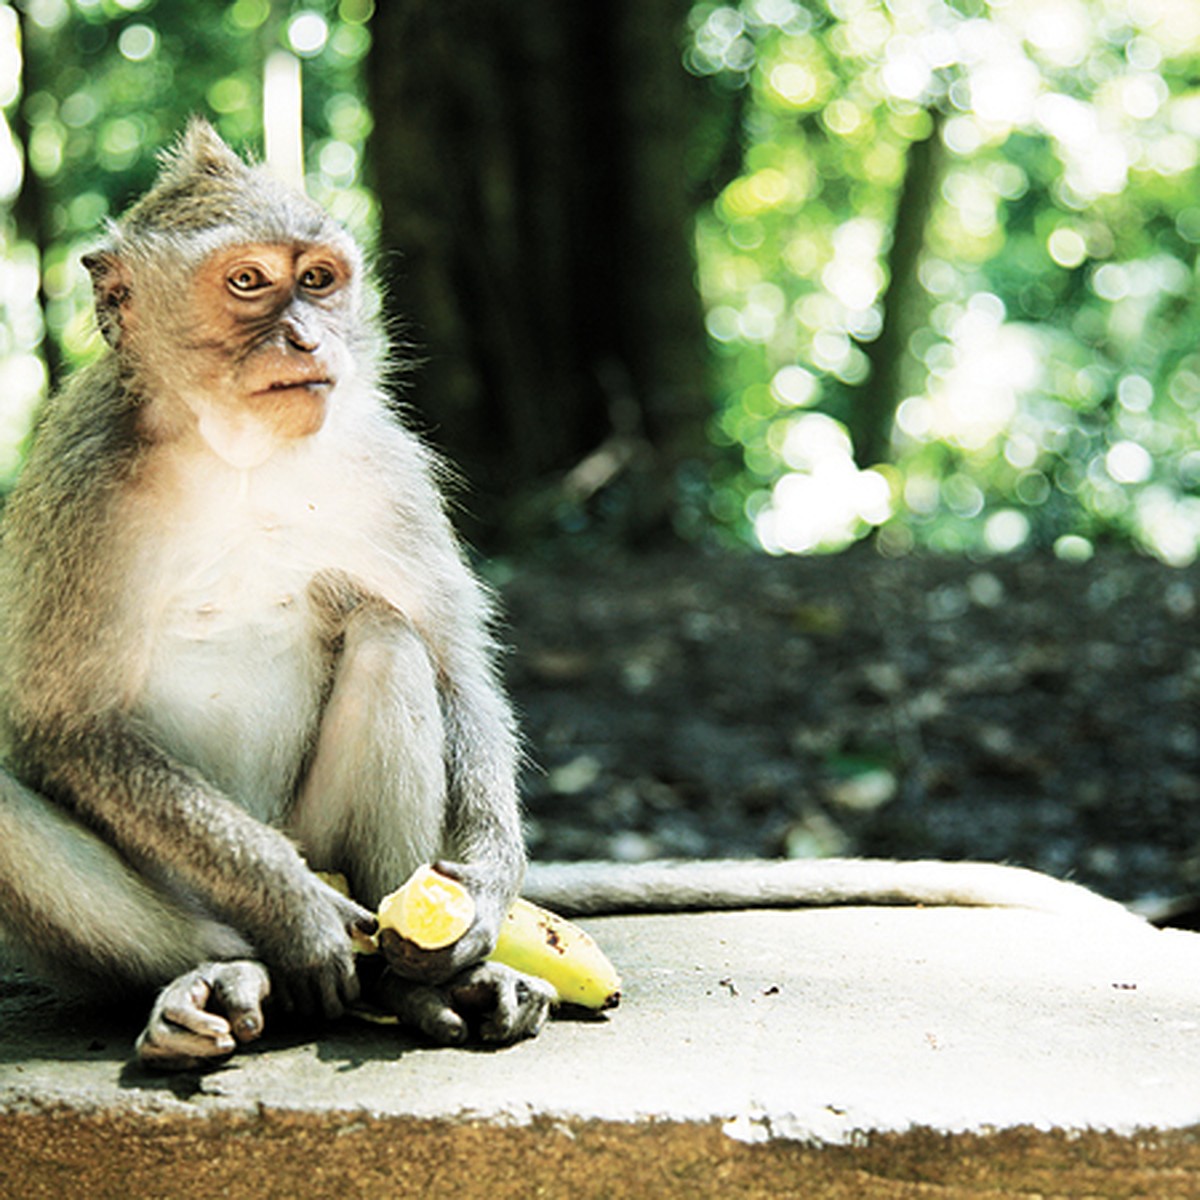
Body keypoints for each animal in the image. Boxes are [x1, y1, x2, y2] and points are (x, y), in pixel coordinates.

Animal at [0, 126, 1137, 1075]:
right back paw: (220, 973)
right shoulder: (74, 482)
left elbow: (451, 658)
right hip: (197, 889)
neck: (235, 457)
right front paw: (290, 905)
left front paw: (483, 891)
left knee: (389, 639)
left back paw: (427, 986)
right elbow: (64, 725)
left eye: (318, 280)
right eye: (248, 283)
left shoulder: (384, 459)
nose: (307, 341)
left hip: (342, 852)